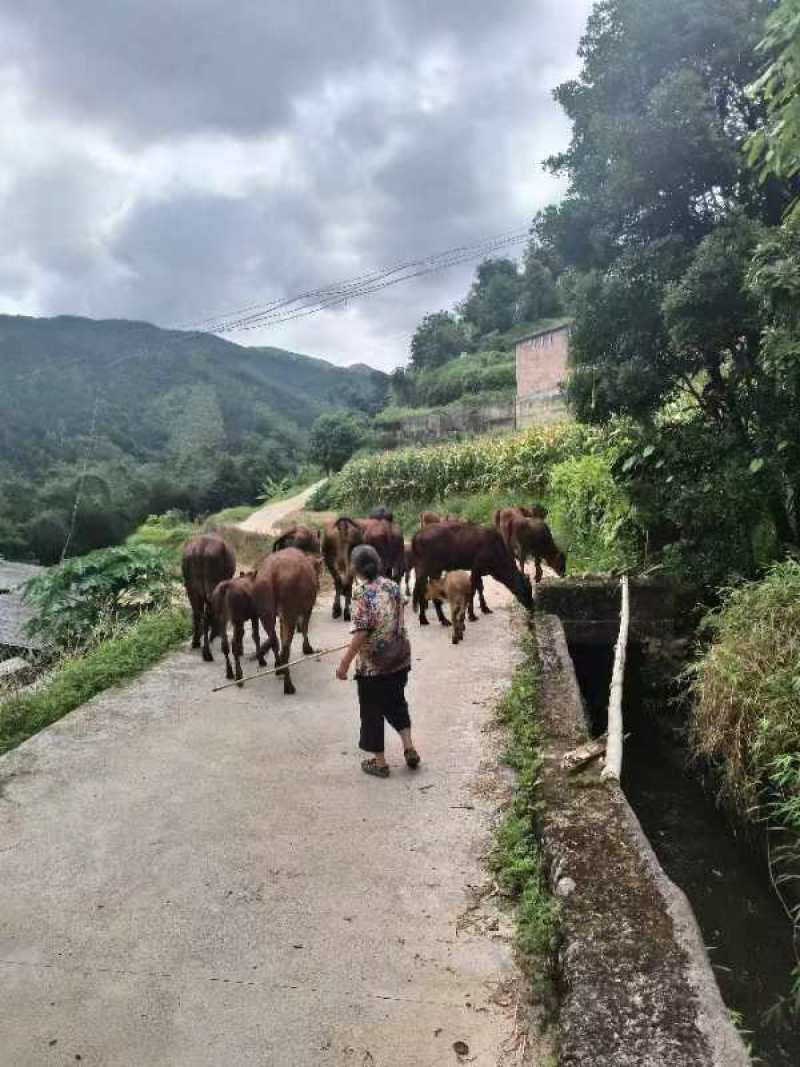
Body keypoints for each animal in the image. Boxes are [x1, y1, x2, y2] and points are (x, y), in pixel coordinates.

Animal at [253, 546, 322, 695]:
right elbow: (305, 628)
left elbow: (280, 633)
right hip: (289, 612)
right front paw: (307, 648)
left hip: (266, 613)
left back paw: (279, 666)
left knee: (274, 640)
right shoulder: (307, 608)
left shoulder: (281, 616)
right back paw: (288, 684)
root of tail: (273, 573)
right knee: (286, 647)